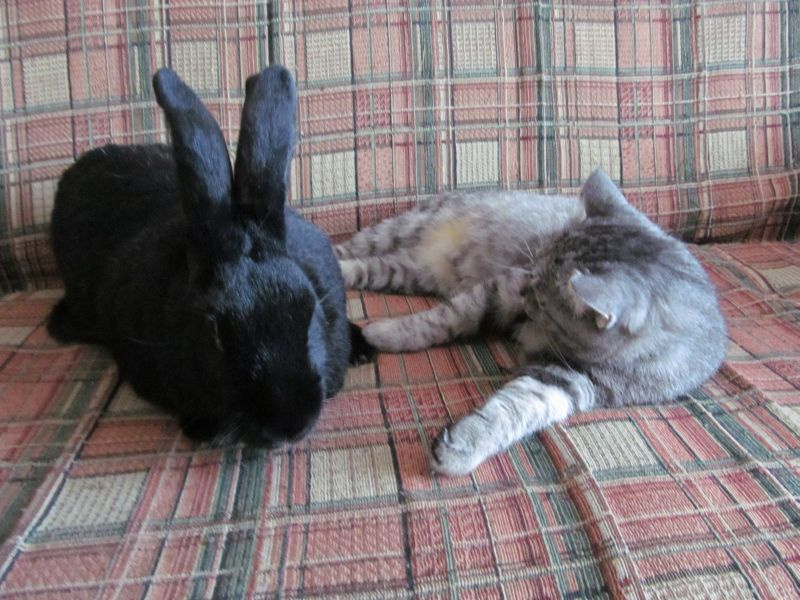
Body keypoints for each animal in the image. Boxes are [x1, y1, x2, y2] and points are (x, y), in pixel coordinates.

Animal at [336, 169, 727, 476]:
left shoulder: (569, 380)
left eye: (541, 297)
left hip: (410, 271)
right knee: (345, 250)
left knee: (374, 268)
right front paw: (385, 334)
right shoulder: (500, 288)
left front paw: (465, 447)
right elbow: (442, 320)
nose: (525, 290)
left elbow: (513, 410)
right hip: (398, 230)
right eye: (534, 272)